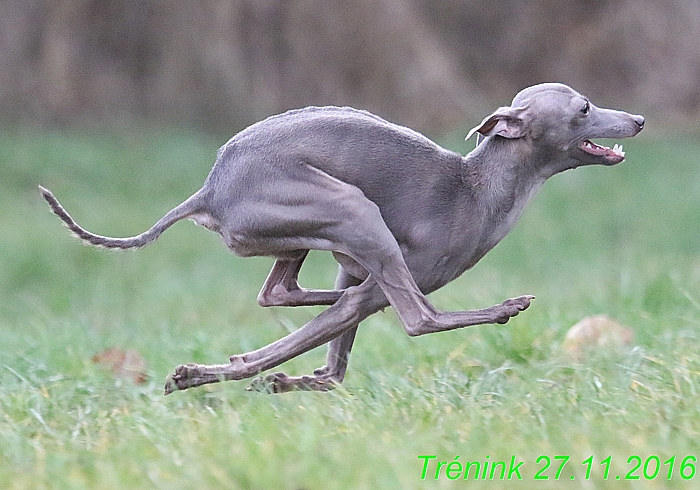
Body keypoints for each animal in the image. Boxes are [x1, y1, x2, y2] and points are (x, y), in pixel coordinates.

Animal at [41, 81, 644, 394]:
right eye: (584, 107)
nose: (638, 119)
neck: (477, 186)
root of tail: (208, 191)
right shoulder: (384, 272)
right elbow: (328, 340)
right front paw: (206, 374)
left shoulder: (355, 271)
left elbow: (331, 363)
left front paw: (281, 378)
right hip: (352, 208)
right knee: (418, 316)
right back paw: (501, 307)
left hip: (321, 231)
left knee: (282, 293)